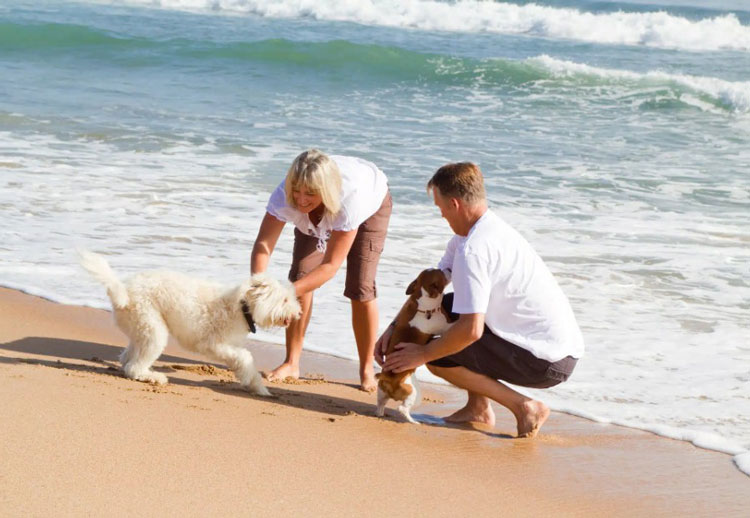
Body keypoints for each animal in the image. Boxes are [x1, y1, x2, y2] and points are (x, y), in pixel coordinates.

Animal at [76, 252, 300, 398]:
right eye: (285, 300)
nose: (298, 313)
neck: (242, 306)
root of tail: (122, 292)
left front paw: (258, 388)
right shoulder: (214, 344)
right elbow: (245, 358)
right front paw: (257, 386)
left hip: (141, 328)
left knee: (126, 358)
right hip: (153, 330)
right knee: (134, 367)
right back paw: (153, 377)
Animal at [376, 270, 452, 424]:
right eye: (441, 273)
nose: (448, 268)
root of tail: (389, 379)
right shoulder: (444, 326)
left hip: (382, 391)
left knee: (381, 402)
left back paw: (380, 413)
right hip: (414, 394)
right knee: (402, 409)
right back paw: (413, 421)